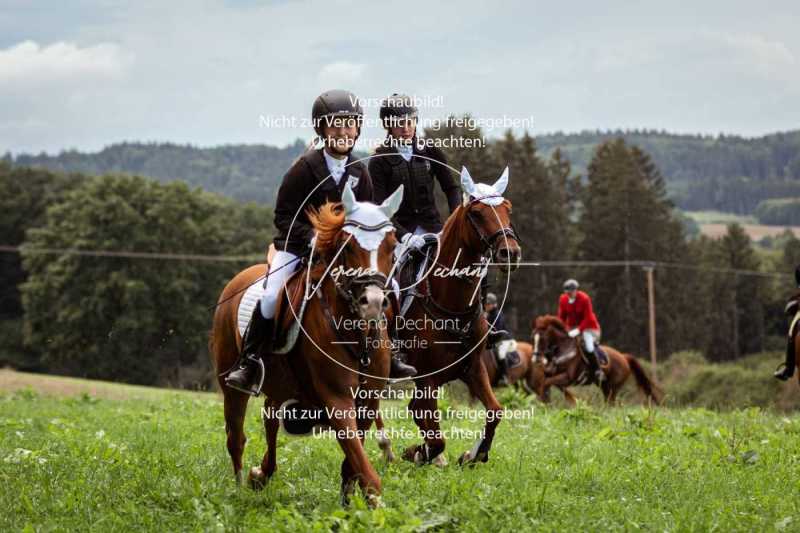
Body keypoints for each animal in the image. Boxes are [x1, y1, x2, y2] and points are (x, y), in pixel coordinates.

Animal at [209, 185, 404, 504]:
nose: (373, 303)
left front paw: (348, 503)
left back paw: (261, 474)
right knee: (235, 438)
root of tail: (238, 280)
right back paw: (240, 488)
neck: (355, 332)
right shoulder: (337, 400)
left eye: (392, 245)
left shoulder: (367, 402)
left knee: (270, 418)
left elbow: (353, 464)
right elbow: (367, 473)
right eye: (347, 247)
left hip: (280, 384)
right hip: (231, 385)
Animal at [532, 316, 664, 404]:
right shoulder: (553, 374)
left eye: (542, 338)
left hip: (613, 387)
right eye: (533, 337)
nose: (535, 358)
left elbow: (547, 382)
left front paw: (545, 400)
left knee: (611, 403)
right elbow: (548, 382)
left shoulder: (568, 378)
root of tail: (624, 357)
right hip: (605, 386)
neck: (563, 350)